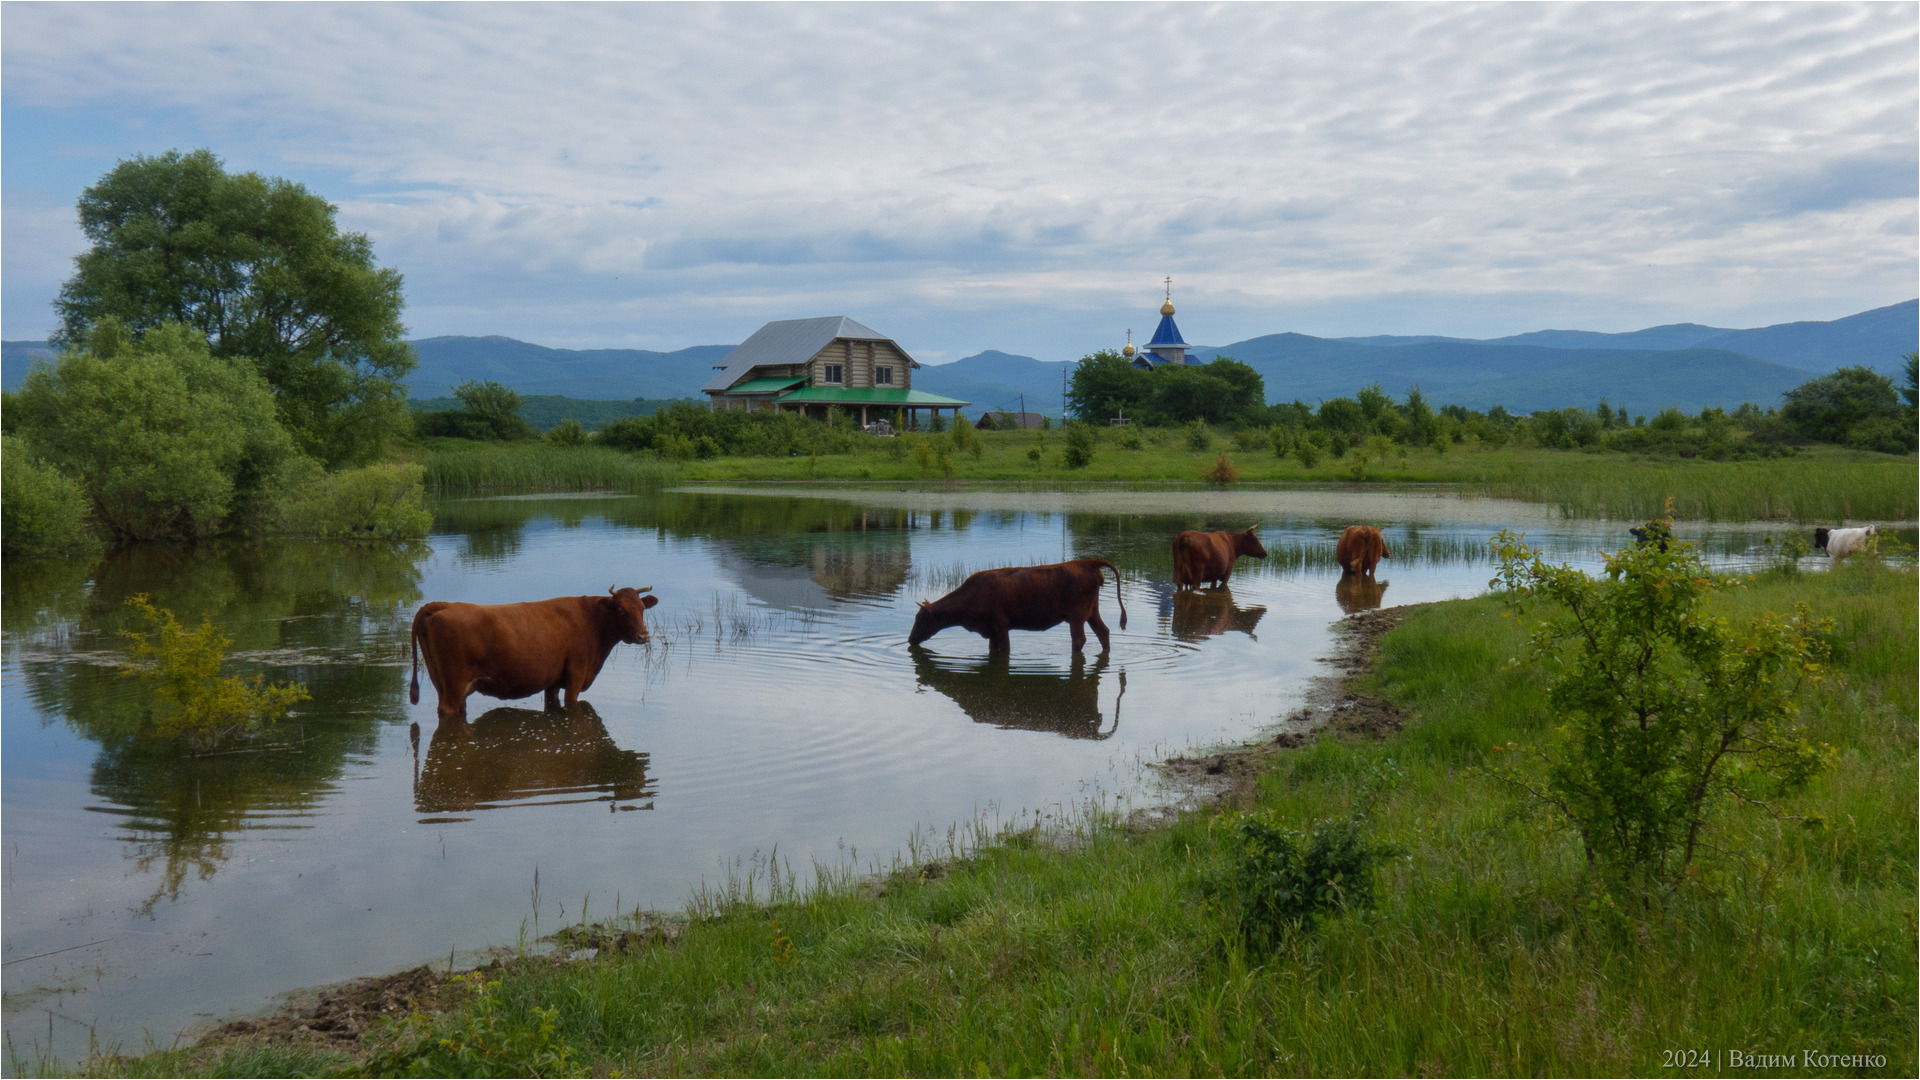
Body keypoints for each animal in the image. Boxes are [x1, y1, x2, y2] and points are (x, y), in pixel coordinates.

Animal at [407, 588, 660, 714]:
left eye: (641, 608)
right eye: (620, 609)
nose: (643, 636)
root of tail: (444, 605)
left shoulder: (553, 681)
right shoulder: (576, 674)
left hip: (441, 681)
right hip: (454, 683)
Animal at [910, 557, 1121, 653]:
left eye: (920, 619)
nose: (910, 639)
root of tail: (1086, 562)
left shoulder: (1000, 624)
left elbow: (1005, 648)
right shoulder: (991, 631)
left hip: (1077, 616)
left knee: (1079, 639)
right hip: (1092, 612)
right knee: (1103, 631)